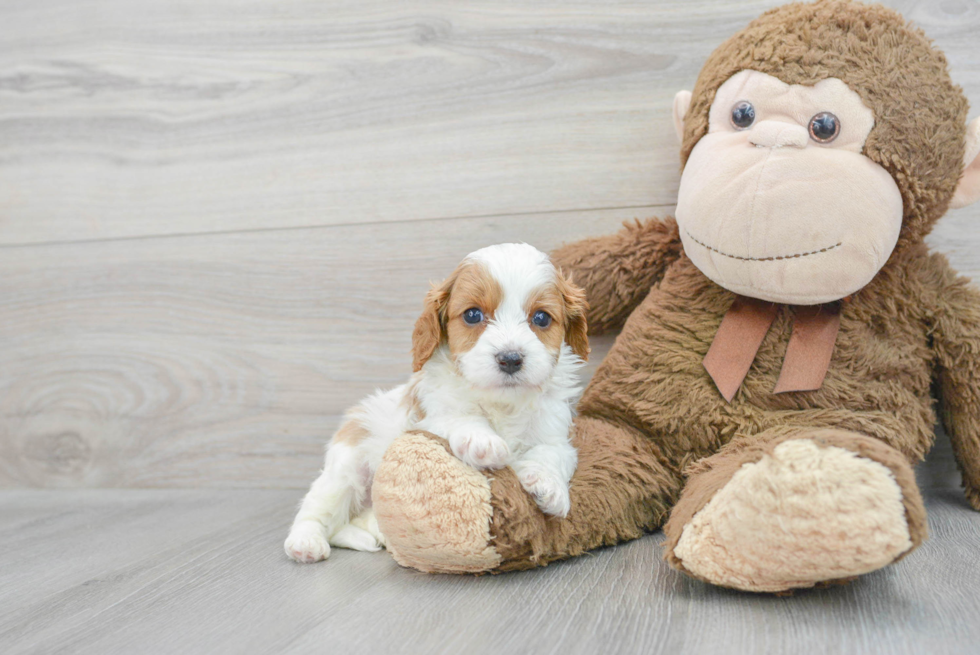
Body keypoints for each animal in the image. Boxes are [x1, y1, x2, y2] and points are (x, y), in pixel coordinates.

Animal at [284, 242, 588, 564]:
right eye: (472, 315)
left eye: (541, 318)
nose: (510, 358)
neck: (501, 401)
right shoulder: (430, 415)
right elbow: (459, 416)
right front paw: (482, 441)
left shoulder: (555, 432)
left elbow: (552, 453)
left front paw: (549, 486)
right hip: (346, 467)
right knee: (318, 510)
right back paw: (305, 542)